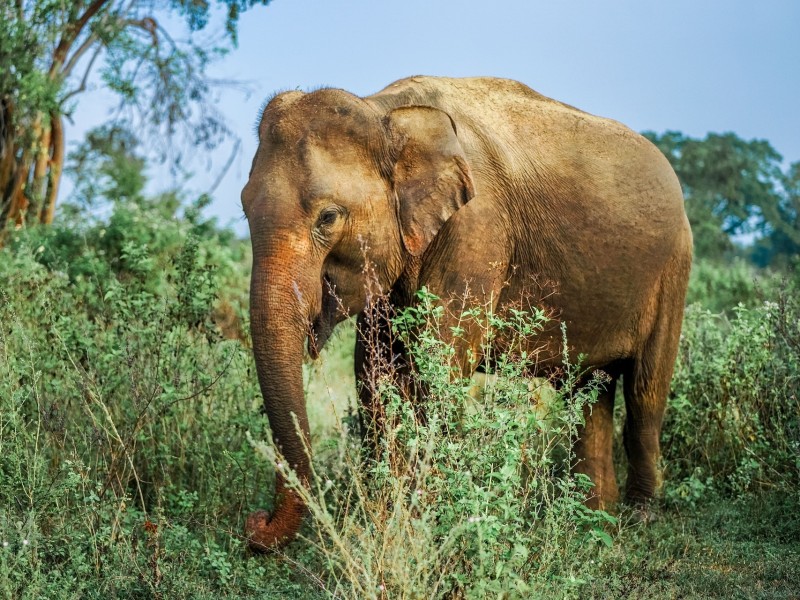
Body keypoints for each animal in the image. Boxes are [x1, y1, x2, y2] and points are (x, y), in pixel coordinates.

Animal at [241, 76, 692, 550]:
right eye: (244, 208)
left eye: (328, 217)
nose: (256, 523)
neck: (385, 113)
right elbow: (374, 374)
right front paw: (386, 524)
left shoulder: (478, 232)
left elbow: (438, 370)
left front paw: (419, 528)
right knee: (589, 391)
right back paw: (593, 521)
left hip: (674, 268)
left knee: (645, 394)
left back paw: (638, 519)